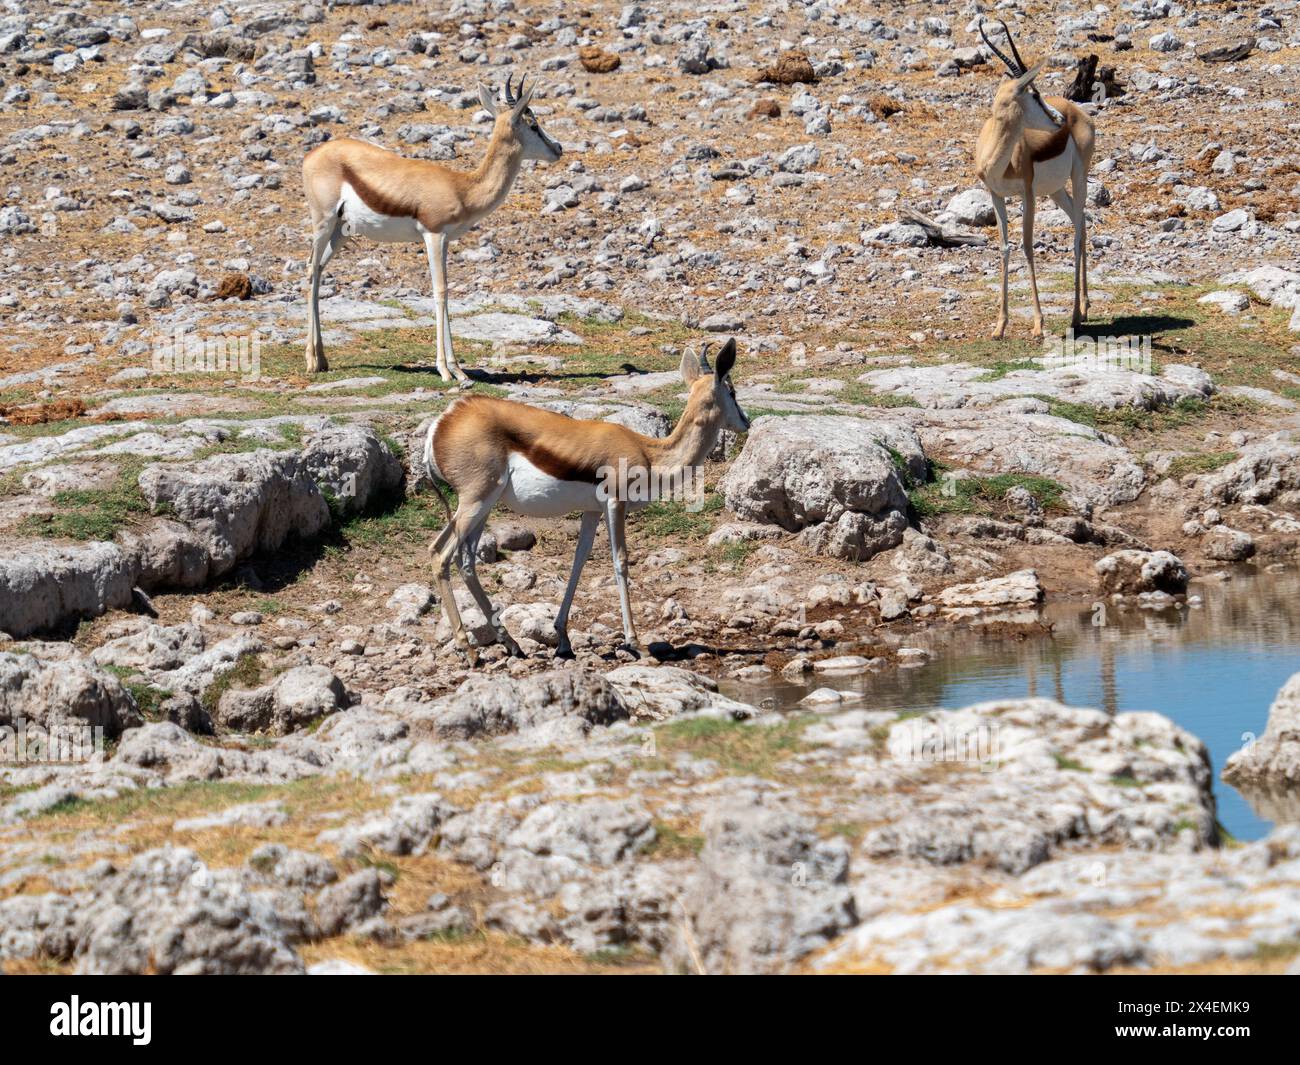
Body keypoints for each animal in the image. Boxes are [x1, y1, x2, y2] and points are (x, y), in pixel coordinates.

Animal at [299, 75, 564, 377]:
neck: (464, 188)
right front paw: (447, 371)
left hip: (341, 230)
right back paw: (311, 360)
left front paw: (458, 370)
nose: (558, 148)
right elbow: (440, 291)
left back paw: (322, 359)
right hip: (323, 221)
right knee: (310, 269)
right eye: (533, 124)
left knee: (318, 270)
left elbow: (447, 290)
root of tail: (312, 155)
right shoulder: (433, 235)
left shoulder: (446, 240)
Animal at [426, 338, 754, 663]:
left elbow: (579, 560)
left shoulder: (591, 511)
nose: (747, 422)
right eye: (732, 391)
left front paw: (563, 639)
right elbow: (620, 561)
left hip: (482, 507)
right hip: (475, 502)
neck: (650, 454)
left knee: (466, 562)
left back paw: (513, 644)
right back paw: (469, 649)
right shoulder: (615, 504)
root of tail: (444, 421)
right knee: (439, 554)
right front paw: (635, 642)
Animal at [977, 20, 1097, 340]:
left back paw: (1075, 316)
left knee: (1078, 232)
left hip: (1078, 177)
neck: (998, 160)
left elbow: (1028, 247)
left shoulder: (1027, 194)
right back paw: (1084, 307)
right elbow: (1005, 248)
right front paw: (1000, 326)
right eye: (1033, 95)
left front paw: (1038, 324)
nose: (1059, 120)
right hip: (1056, 191)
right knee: (1081, 221)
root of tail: (1078, 111)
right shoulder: (995, 195)